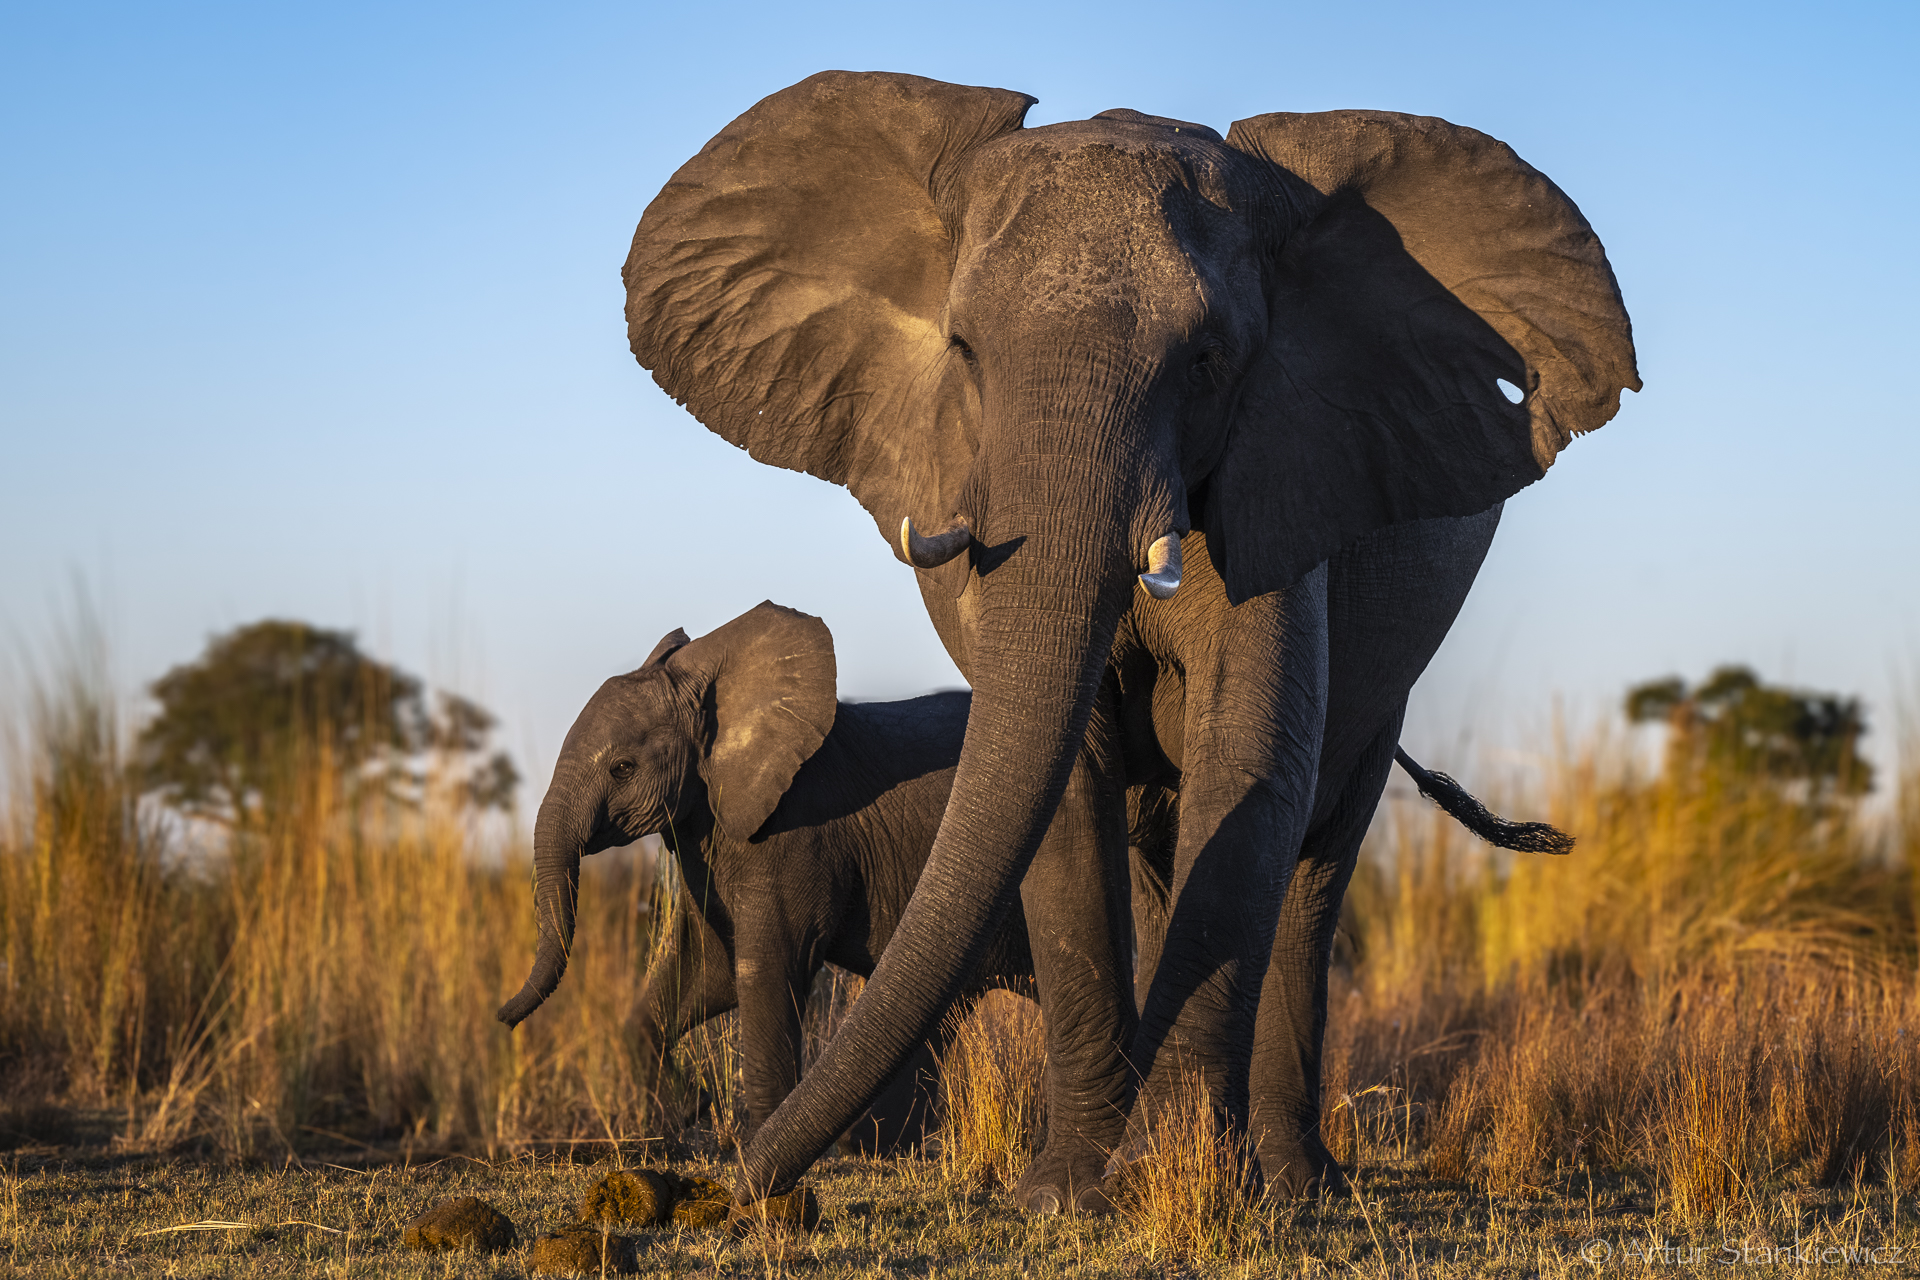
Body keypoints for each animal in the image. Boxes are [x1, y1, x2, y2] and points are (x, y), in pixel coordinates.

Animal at [499, 602, 1036, 1151]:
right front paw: (688, 1106)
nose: (501, 1019)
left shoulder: (798, 832)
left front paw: (754, 1145)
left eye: (622, 769)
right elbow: (708, 969)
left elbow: (765, 969)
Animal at [622, 70, 1643, 1212]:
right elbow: (1067, 790)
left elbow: (1250, 757)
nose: (736, 1190)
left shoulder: (1287, 464)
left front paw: (1173, 1179)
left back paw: (1295, 1182)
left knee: (1316, 857)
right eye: (964, 350)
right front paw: (1069, 1193)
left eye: (1206, 361)